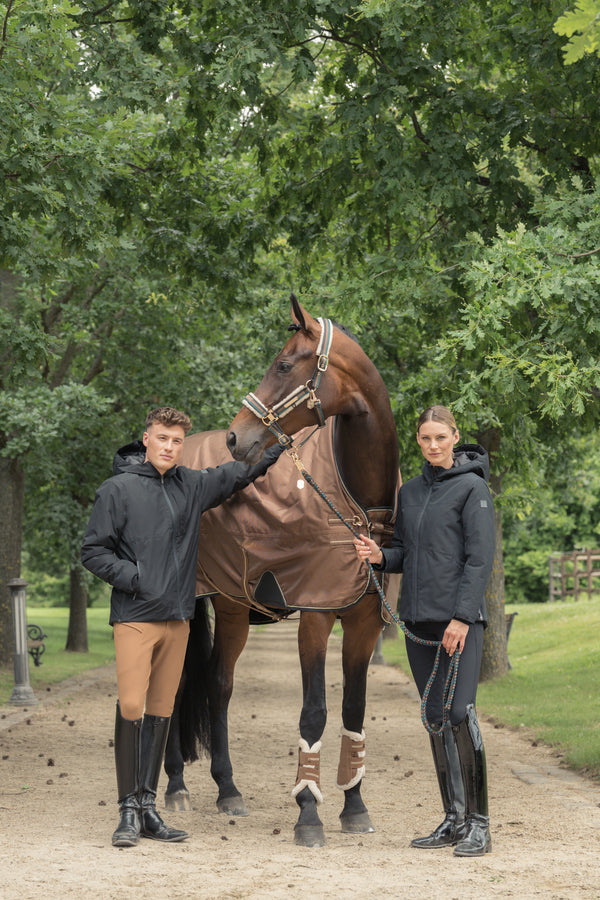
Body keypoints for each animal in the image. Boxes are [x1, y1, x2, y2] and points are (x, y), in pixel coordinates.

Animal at [163, 296, 398, 844]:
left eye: (284, 365)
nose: (235, 437)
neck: (357, 506)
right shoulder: (314, 616)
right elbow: (314, 713)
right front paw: (308, 812)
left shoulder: (363, 624)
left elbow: (353, 711)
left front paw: (354, 806)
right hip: (188, 608)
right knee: (175, 685)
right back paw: (177, 787)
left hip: (231, 608)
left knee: (220, 686)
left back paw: (228, 791)